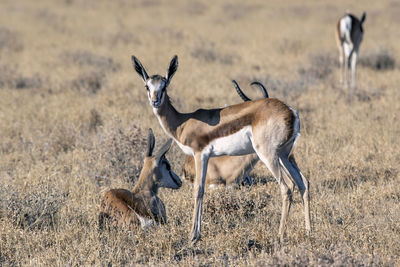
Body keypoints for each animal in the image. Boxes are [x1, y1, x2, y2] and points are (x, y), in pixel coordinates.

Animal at [132, 55, 312, 244]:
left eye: (164, 85)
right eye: (147, 86)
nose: (155, 101)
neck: (183, 122)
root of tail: (291, 112)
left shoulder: (200, 154)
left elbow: (198, 190)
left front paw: (193, 236)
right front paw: (197, 234)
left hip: (268, 155)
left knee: (287, 187)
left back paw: (280, 236)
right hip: (285, 156)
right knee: (303, 183)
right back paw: (308, 232)